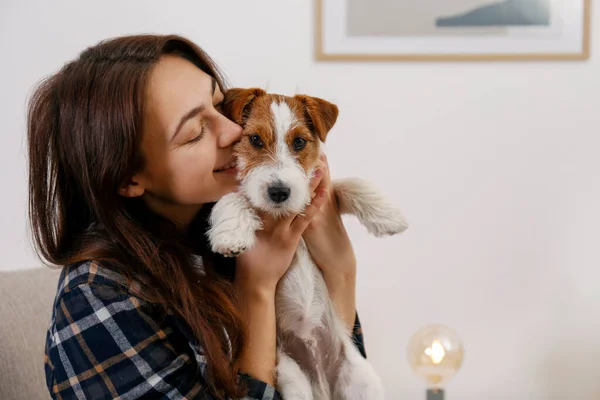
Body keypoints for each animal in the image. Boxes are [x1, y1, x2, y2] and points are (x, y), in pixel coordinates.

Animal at [206, 89, 408, 398]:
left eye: (299, 142)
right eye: (255, 140)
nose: (279, 192)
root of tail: (323, 385)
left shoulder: (321, 193)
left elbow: (348, 185)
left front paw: (389, 215)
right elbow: (233, 197)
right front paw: (231, 234)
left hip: (362, 380)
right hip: (292, 379)